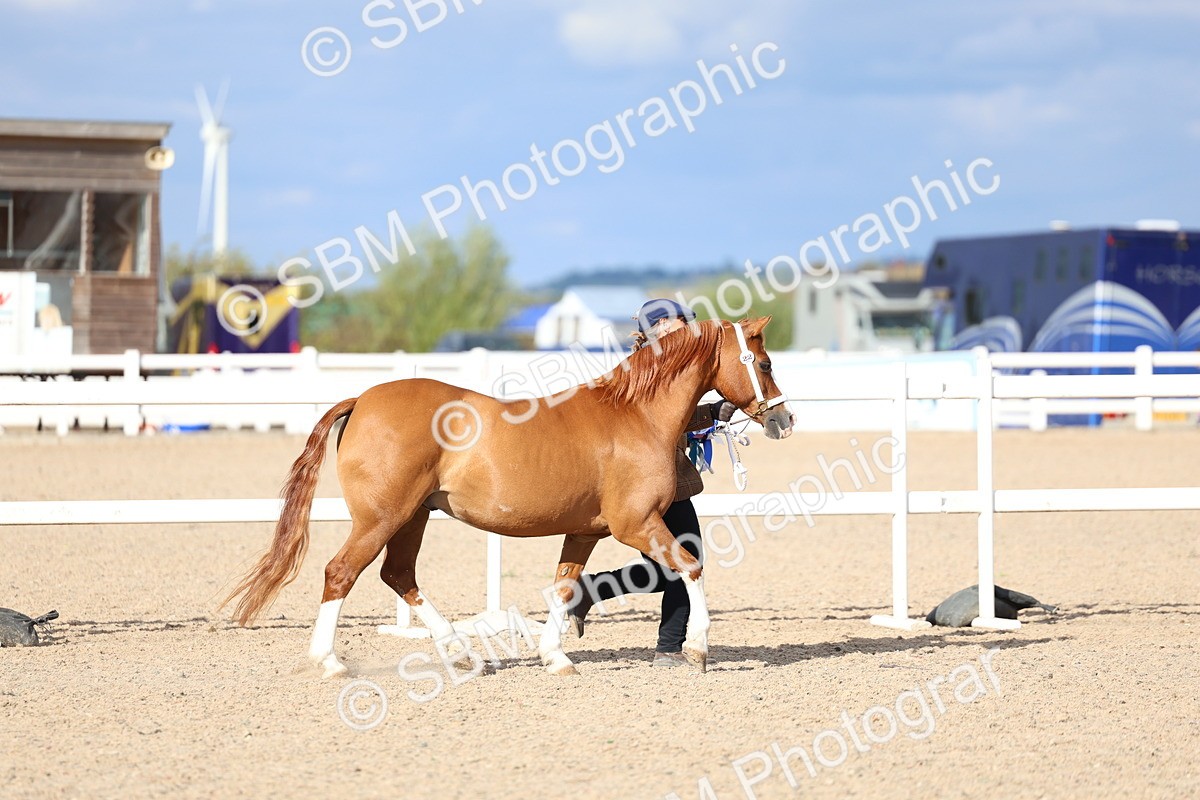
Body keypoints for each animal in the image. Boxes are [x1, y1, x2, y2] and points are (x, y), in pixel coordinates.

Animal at [221, 316, 793, 677]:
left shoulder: (584, 531)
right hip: (382, 518)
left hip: (412, 518)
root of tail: (362, 398)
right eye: (764, 363)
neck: (634, 415)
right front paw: (697, 650)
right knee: (341, 572)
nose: (784, 420)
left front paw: (555, 657)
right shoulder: (637, 524)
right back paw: (330, 662)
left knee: (398, 575)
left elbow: (564, 587)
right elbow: (691, 568)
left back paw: (459, 652)